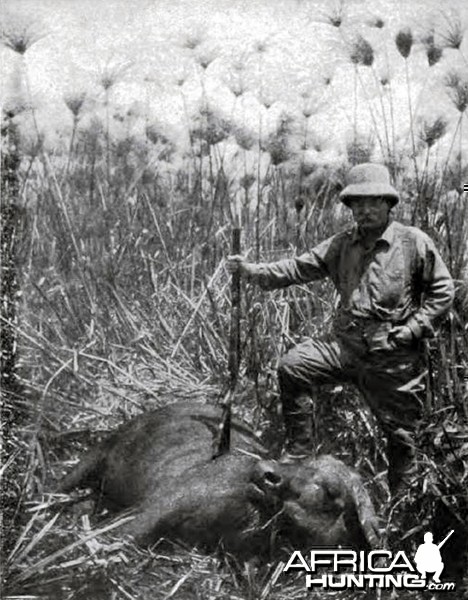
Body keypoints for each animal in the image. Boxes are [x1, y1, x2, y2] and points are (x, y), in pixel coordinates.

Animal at [59, 400, 380, 556]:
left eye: (329, 489)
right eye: (301, 461)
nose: (266, 472)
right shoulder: (164, 502)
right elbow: (125, 534)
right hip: (94, 457)